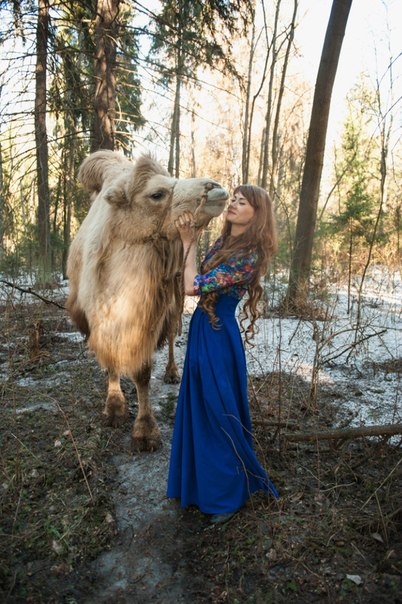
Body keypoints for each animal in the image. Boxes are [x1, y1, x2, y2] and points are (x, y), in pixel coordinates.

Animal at [67, 150, 228, 452]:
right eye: (157, 194)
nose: (216, 187)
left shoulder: (146, 317)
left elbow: (142, 371)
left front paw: (145, 432)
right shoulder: (100, 319)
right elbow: (111, 361)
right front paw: (114, 408)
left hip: (175, 297)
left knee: (173, 331)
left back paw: (172, 372)